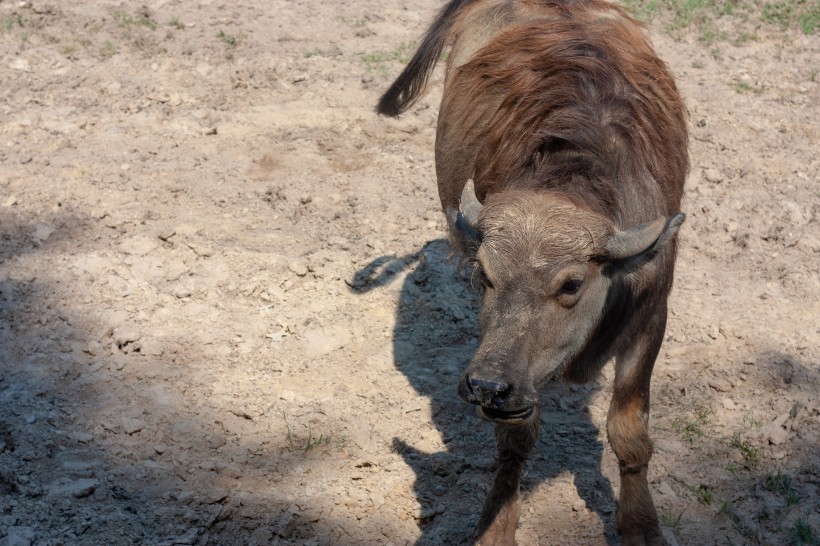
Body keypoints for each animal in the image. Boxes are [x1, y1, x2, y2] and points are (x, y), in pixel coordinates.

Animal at [382, 1, 688, 544]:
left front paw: (641, 526)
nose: (487, 386)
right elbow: (515, 440)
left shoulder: (652, 316)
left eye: (571, 284)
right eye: (485, 275)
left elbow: (629, 431)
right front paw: (496, 524)